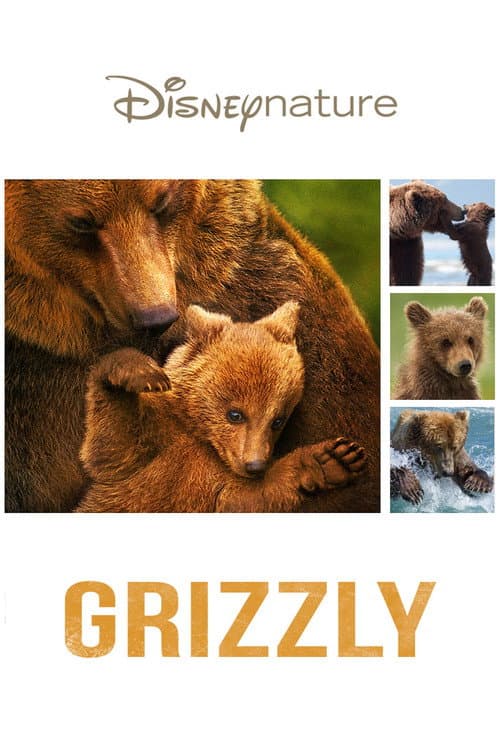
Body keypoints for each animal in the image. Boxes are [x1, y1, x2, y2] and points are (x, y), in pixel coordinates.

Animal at [76, 302, 366, 512]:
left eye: (278, 420)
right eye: (235, 414)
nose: (255, 465)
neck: (201, 438)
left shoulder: (215, 483)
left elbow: (248, 498)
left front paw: (335, 459)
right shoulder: (150, 447)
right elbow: (111, 441)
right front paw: (141, 373)